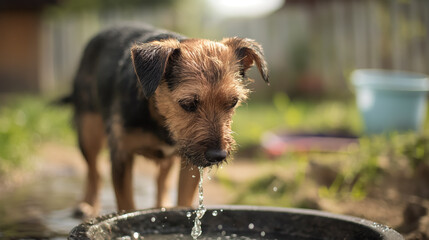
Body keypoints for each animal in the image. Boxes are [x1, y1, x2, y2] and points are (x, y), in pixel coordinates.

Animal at [70, 23, 268, 218]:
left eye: (233, 102)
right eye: (188, 103)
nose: (218, 155)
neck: (158, 116)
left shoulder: (191, 162)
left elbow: (183, 200)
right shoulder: (122, 156)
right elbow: (127, 205)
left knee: (161, 178)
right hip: (88, 133)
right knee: (94, 171)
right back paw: (88, 205)